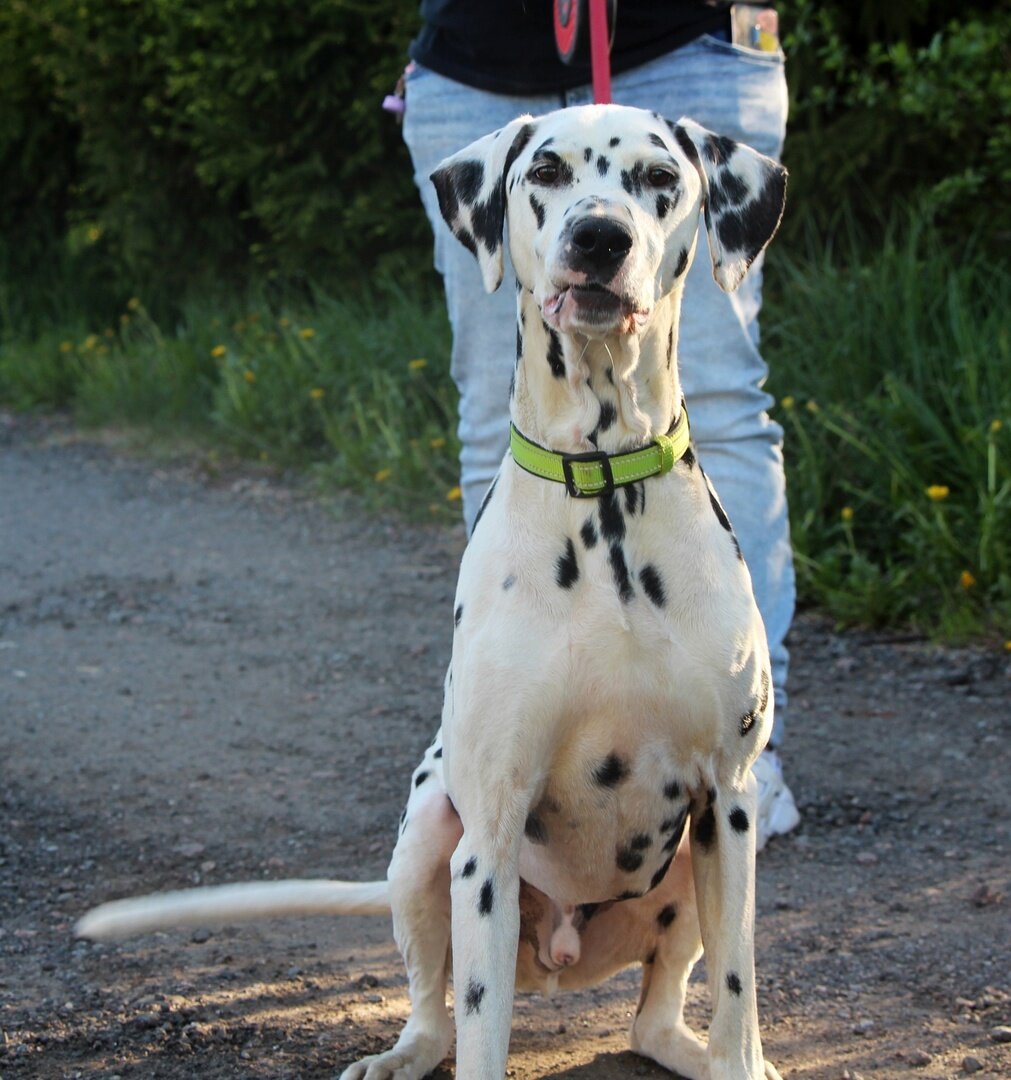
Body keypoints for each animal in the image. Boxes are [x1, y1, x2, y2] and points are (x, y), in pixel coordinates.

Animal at [78, 103, 790, 1080]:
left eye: (660, 180)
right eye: (547, 171)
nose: (598, 237)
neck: (603, 490)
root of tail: (565, 957)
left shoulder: (727, 801)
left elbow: (737, 992)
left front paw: (741, 1052)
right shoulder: (486, 834)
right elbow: (480, 1026)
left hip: (692, 863)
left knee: (655, 1019)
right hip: (425, 843)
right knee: (436, 1011)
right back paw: (399, 1053)